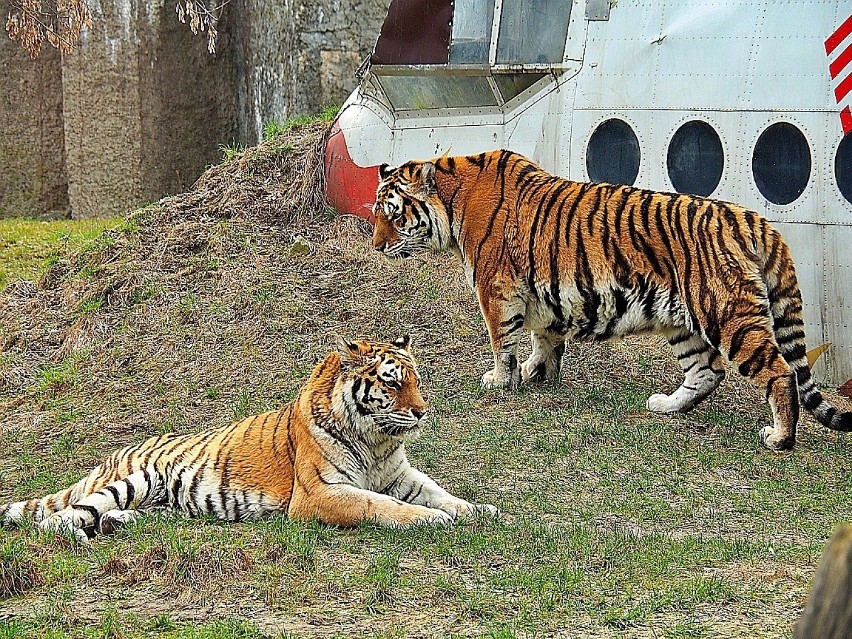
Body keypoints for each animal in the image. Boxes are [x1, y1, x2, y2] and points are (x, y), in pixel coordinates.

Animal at [0, 338, 496, 544]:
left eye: (416, 380)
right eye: (392, 383)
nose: (423, 410)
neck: (376, 441)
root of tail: (114, 453)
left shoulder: (401, 475)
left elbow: (440, 492)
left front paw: (478, 510)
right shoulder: (320, 494)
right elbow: (380, 506)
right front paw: (431, 520)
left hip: (164, 501)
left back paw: (116, 526)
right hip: (129, 482)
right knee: (57, 518)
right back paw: (78, 535)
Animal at [372, 149, 852, 450]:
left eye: (393, 216)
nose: (376, 246)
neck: (453, 200)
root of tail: (753, 218)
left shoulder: (496, 288)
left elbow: (502, 341)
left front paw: (501, 379)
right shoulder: (541, 294)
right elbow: (543, 337)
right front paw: (536, 372)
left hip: (726, 312)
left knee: (778, 371)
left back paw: (780, 438)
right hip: (684, 322)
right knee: (707, 371)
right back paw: (667, 406)